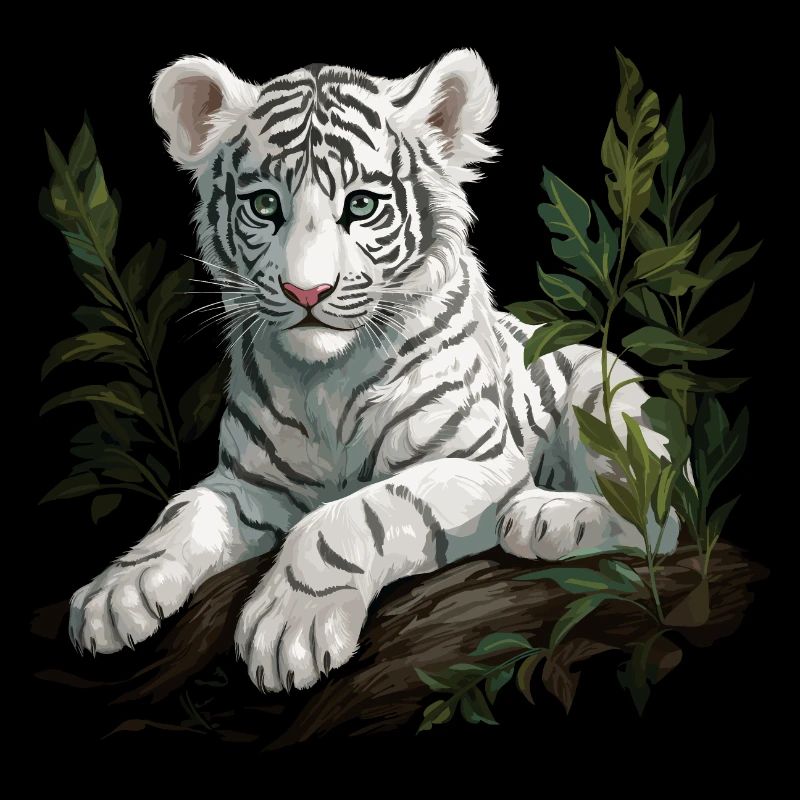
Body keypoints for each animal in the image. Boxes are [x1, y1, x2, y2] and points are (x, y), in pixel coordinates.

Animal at [68, 50, 679, 693]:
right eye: (265, 205)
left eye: (361, 205)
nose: (306, 292)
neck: (323, 382)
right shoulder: (252, 481)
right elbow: (186, 510)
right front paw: (116, 591)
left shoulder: (479, 461)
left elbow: (357, 512)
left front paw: (291, 625)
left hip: (607, 403)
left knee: (656, 521)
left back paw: (548, 516)